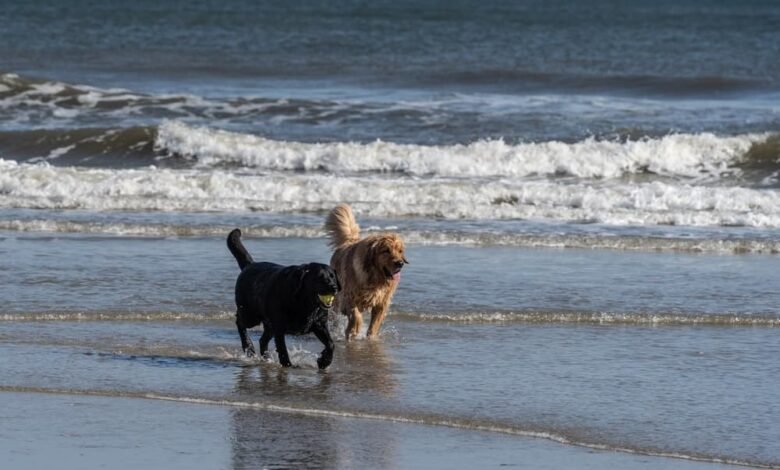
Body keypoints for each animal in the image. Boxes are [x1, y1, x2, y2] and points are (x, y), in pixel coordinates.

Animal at [224, 229, 336, 370]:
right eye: (319, 277)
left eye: (332, 276)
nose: (334, 287)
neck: (304, 303)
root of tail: (250, 265)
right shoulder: (279, 327)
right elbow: (282, 349)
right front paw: (287, 365)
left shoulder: (320, 324)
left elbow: (331, 344)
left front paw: (324, 361)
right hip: (250, 316)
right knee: (240, 322)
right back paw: (248, 348)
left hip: (268, 323)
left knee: (262, 339)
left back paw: (266, 357)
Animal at [322, 204, 408, 340]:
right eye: (386, 251)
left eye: (400, 251)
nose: (400, 263)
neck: (375, 278)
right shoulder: (348, 297)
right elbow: (356, 315)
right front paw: (353, 330)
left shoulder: (381, 303)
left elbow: (374, 325)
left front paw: (370, 337)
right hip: (337, 300)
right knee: (335, 314)